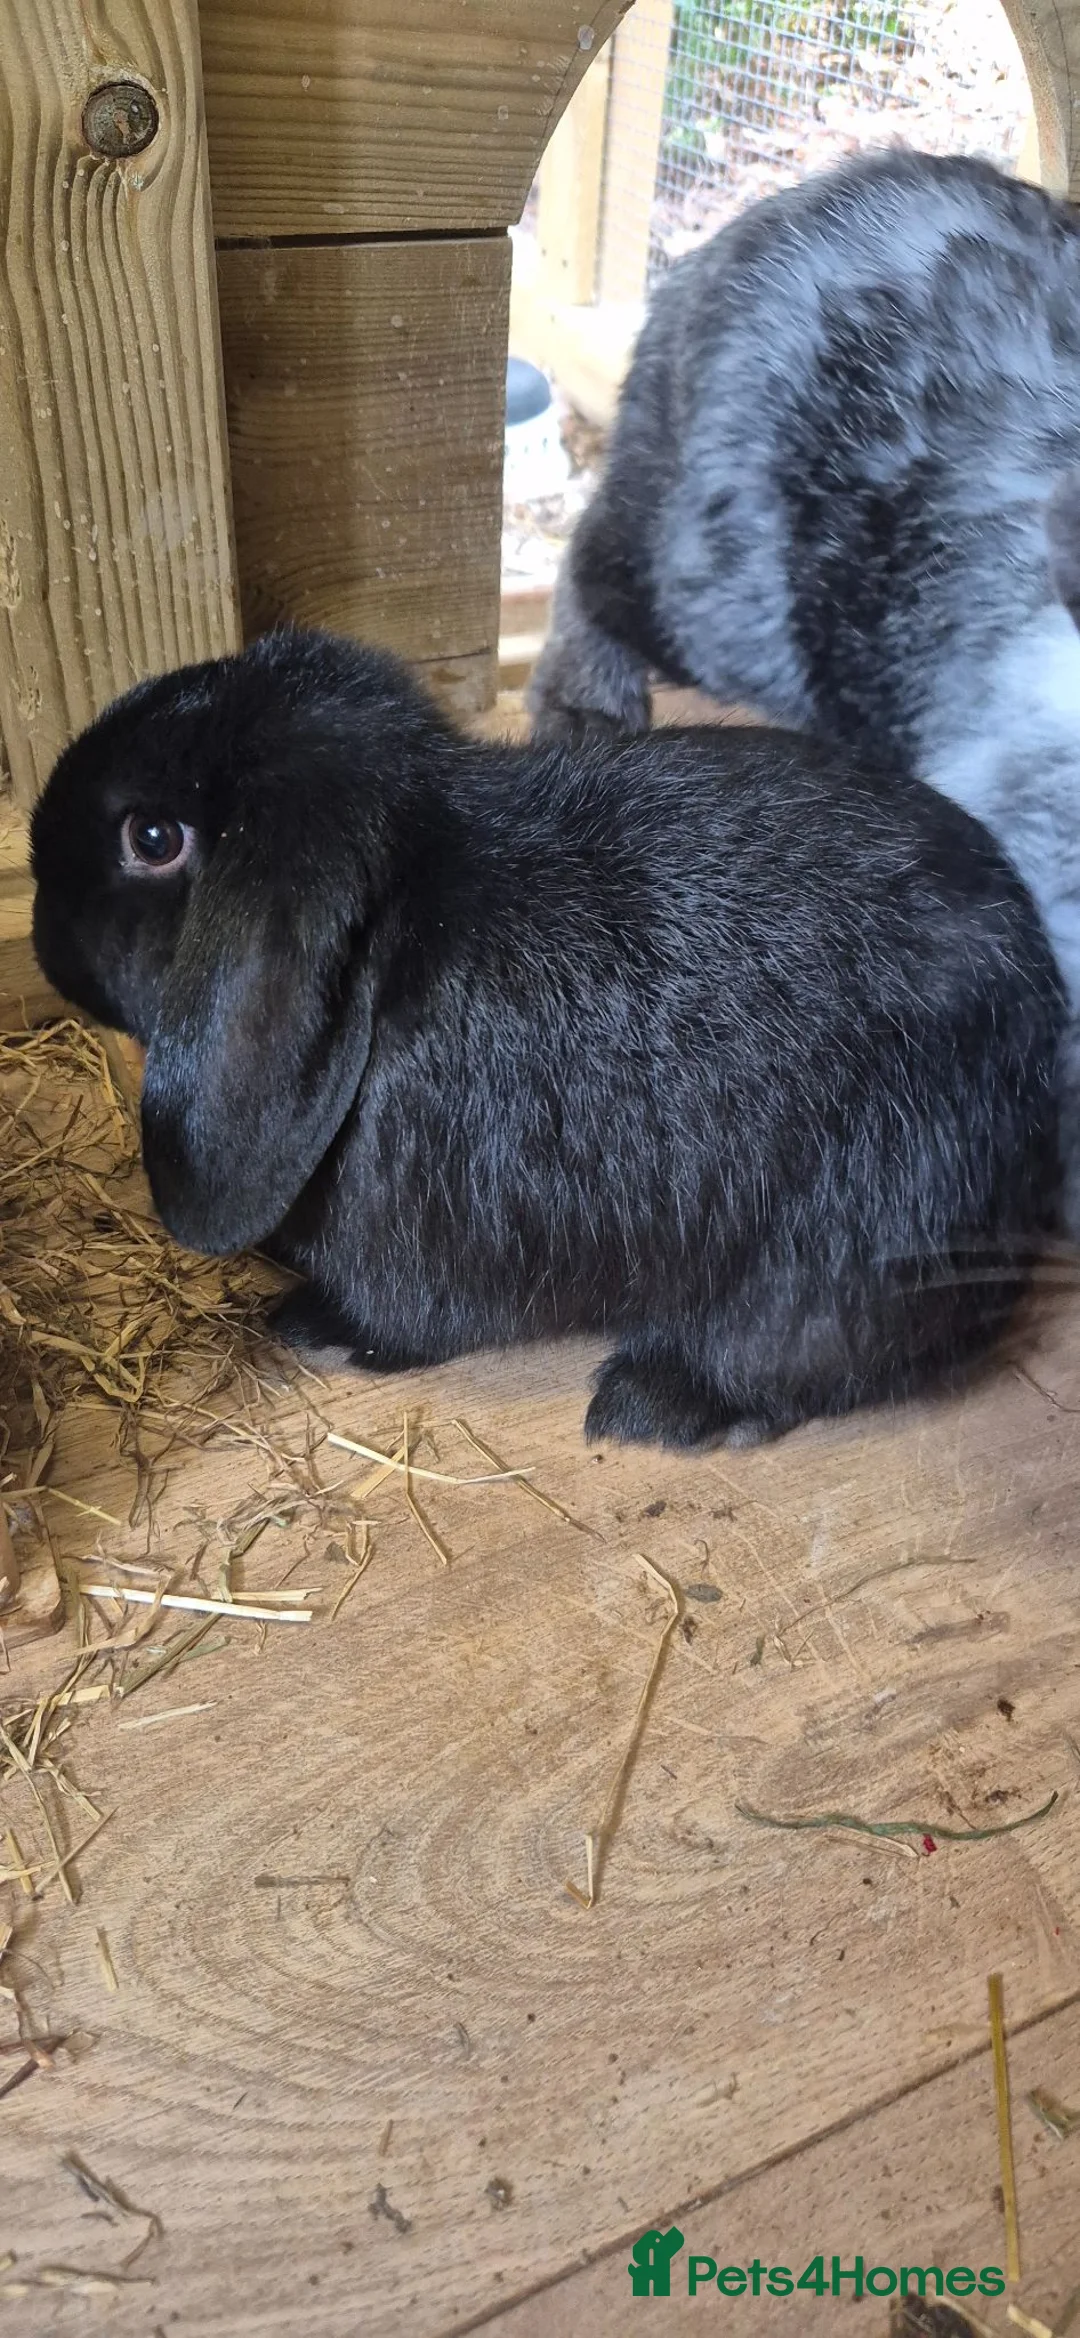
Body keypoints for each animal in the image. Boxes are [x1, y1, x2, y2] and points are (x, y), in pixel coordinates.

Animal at [29, 627, 1063, 1452]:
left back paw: (654, 1404)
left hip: (851, 1236)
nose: (41, 935)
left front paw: (313, 1326)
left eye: (152, 838)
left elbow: (404, 1320)